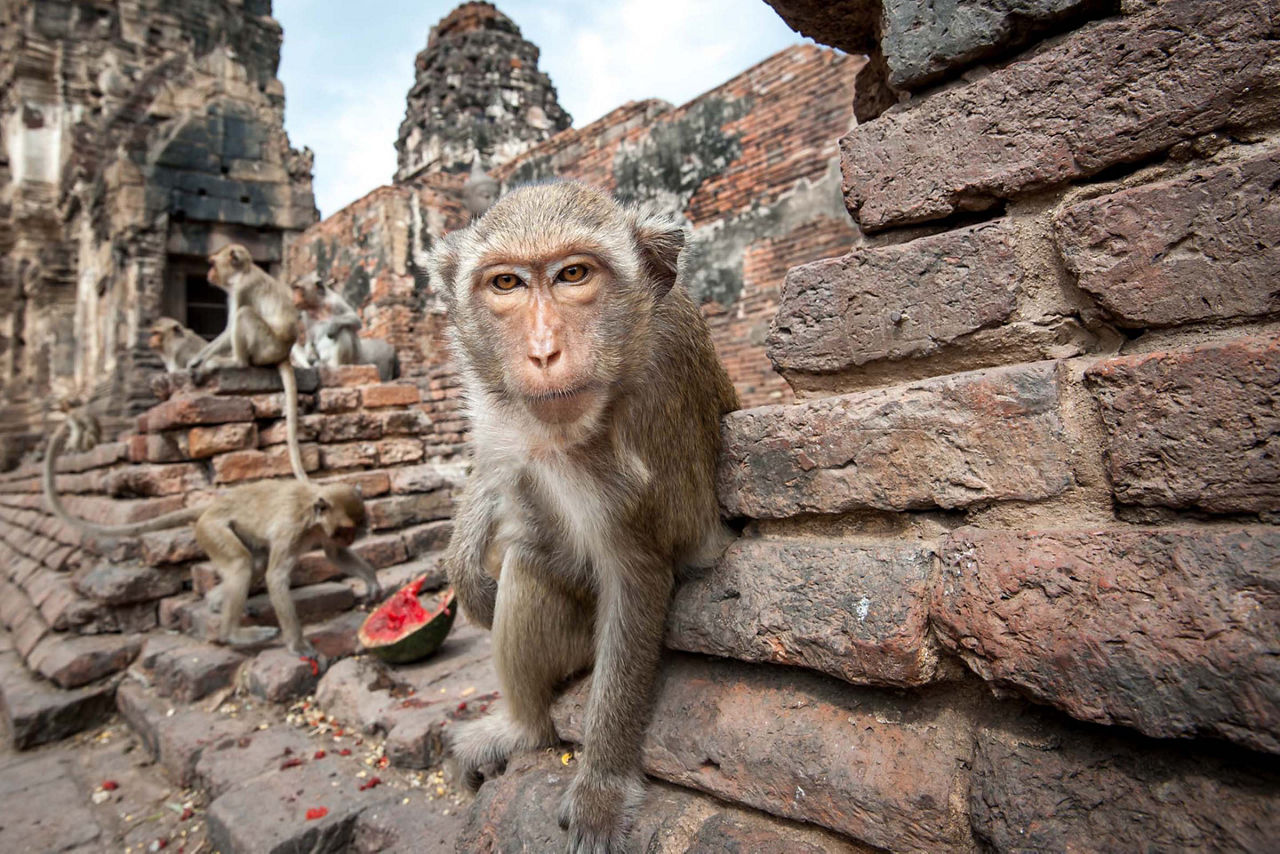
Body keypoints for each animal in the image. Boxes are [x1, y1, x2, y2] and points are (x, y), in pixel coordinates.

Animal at [188, 245, 311, 481]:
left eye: (212, 263)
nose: (209, 273)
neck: (242, 273)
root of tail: (284, 353)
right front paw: (195, 359)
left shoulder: (241, 290)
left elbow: (229, 329)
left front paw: (202, 361)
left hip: (266, 346)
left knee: (245, 315)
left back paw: (235, 362)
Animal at [422, 176, 742, 850]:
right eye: (507, 283)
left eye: (574, 274)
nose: (543, 351)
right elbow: (498, 457)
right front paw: (464, 570)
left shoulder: (642, 424)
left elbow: (637, 575)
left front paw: (601, 786)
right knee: (528, 563)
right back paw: (521, 725)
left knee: (529, 566)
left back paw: (533, 732)